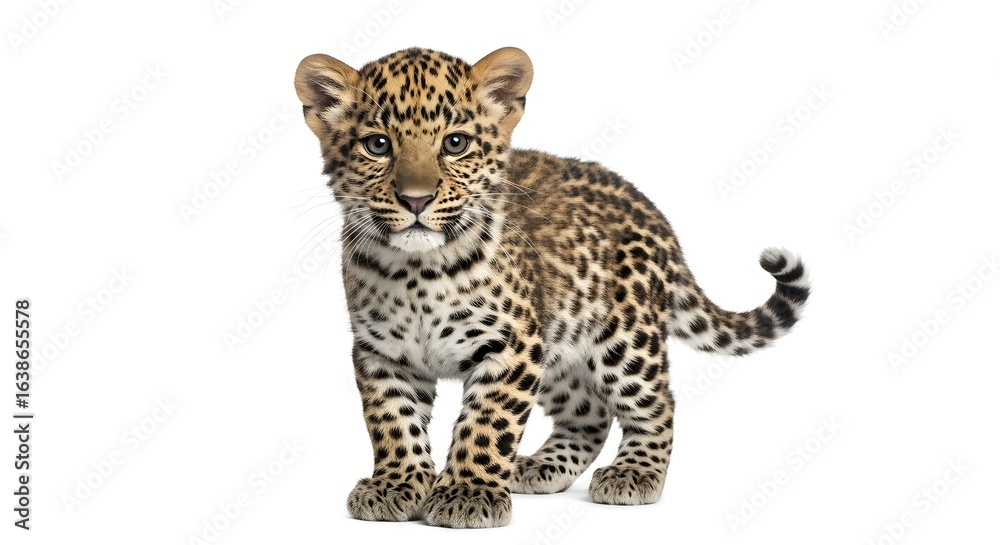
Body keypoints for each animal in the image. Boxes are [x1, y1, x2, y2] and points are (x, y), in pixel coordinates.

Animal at [293, 46, 810, 528]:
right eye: (378, 145)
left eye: (455, 143)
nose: (416, 199)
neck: (417, 272)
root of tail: (656, 216)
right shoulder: (382, 353)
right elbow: (393, 421)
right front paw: (397, 484)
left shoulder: (511, 344)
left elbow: (486, 423)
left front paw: (467, 494)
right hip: (561, 348)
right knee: (590, 414)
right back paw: (541, 467)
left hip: (625, 339)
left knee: (655, 404)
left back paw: (635, 473)